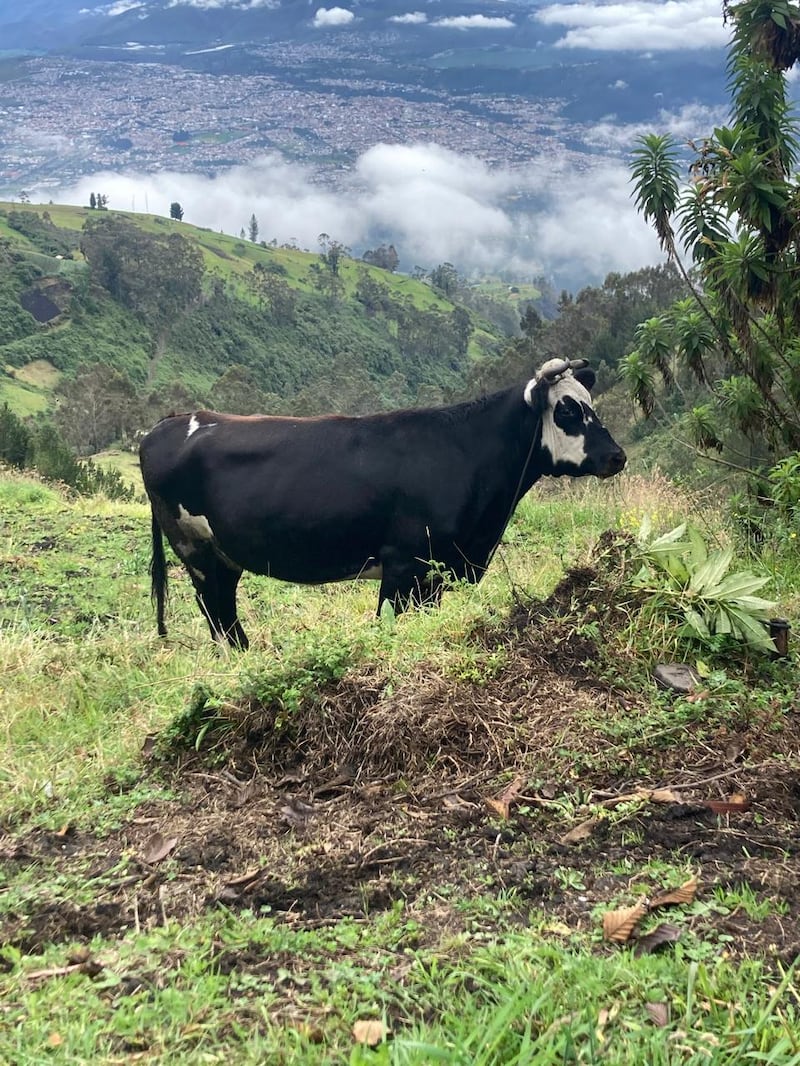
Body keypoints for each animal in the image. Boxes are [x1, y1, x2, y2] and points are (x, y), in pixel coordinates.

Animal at [139, 356, 627, 648]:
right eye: (567, 410)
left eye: (589, 402)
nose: (617, 456)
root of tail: (173, 420)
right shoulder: (403, 563)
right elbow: (389, 623)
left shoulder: (439, 571)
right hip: (196, 550)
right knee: (217, 611)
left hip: (223, 555)